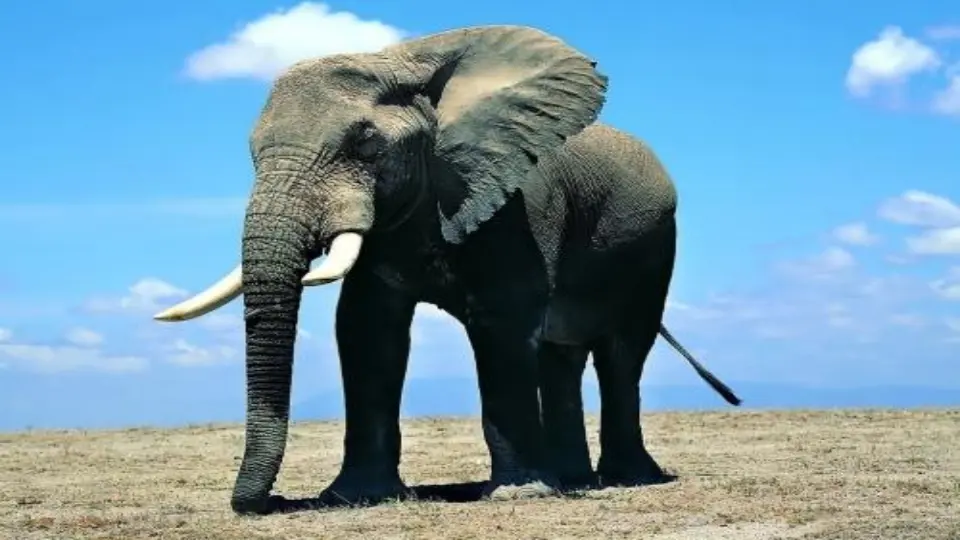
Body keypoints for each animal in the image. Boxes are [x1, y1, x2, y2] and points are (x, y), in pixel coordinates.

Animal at [153, 25, 741, 514]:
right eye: (252, 153)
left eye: (366, 143)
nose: (264, 502)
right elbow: (366, 329)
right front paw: (355, 496)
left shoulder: (519, 202)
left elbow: (502, 325)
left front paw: (519, 494)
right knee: (560, 355)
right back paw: (572, 479)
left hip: (654, 244)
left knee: (621, 352)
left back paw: (622, 478)